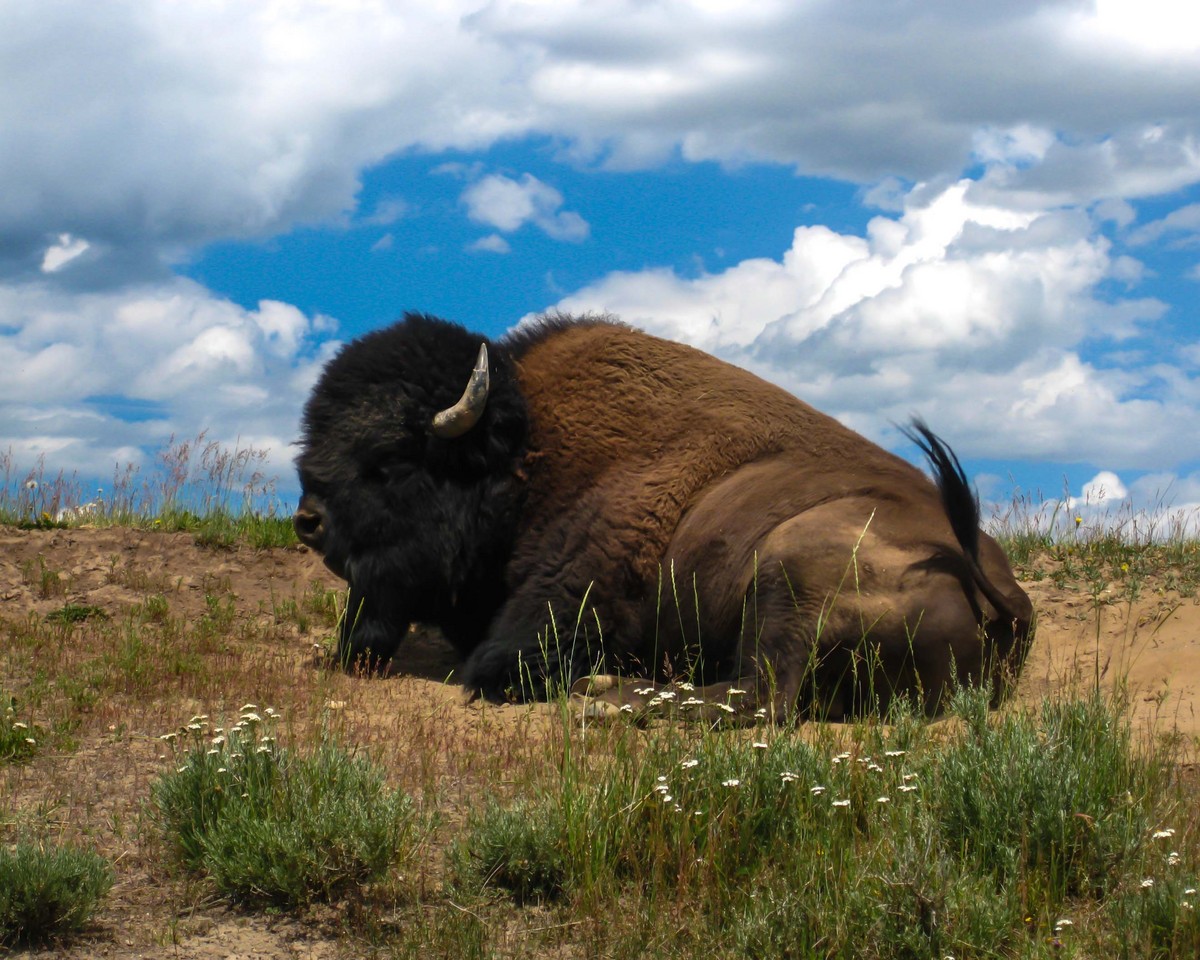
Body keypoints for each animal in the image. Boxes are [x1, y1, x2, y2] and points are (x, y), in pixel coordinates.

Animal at [294, 312, 1033, 721]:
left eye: (390, 458)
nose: (308, 521)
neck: (527, 454)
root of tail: (1007, 592)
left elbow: (494, 667)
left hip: (791, 566)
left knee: (762, 697)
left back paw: (603, 698)